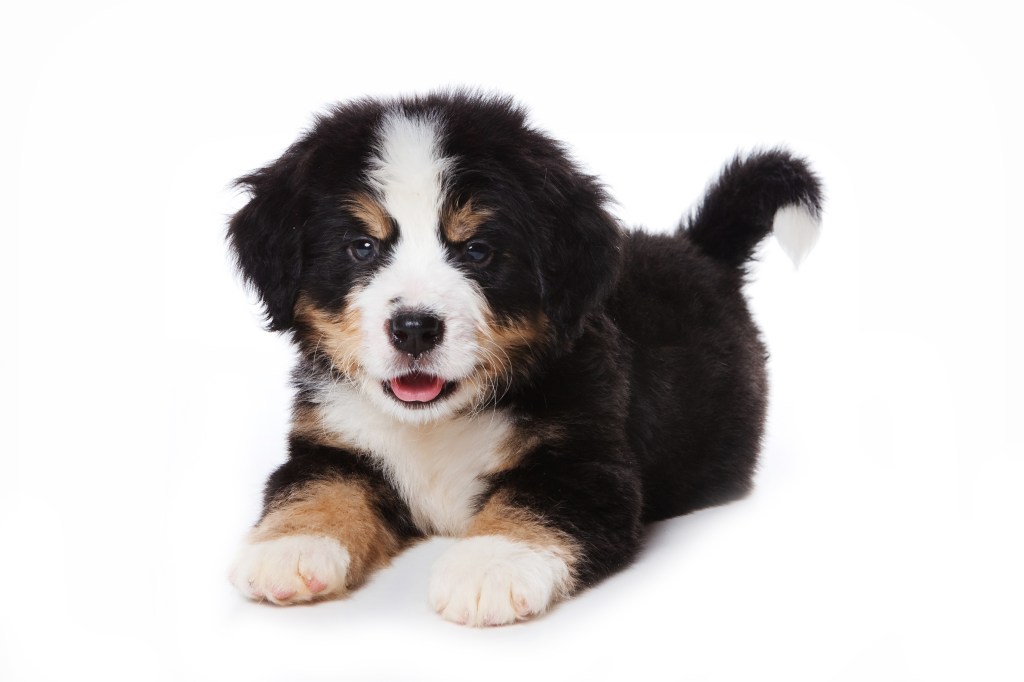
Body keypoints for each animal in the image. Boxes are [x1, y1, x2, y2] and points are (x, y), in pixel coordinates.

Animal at [226, 91, 823, 626]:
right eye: (362, 246)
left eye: (477, 250)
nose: (415, 328)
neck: (436, 426)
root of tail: (699, 250)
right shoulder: (333, 441)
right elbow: (316, 487)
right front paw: (291, 549)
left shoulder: (587, 462)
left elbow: (533, 503)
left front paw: (489, 566)